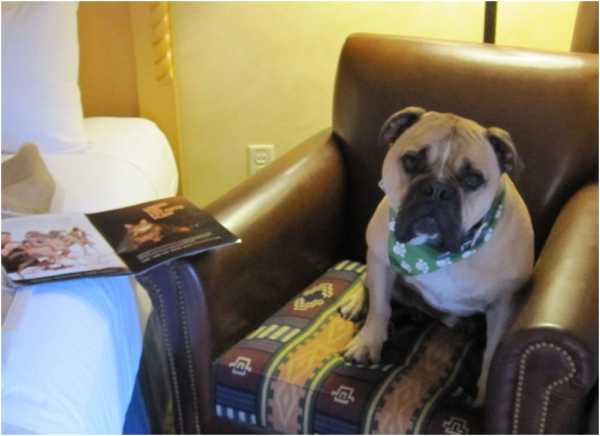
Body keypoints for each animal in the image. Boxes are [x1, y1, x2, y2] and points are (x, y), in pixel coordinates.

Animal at [339, 107, 534, 404]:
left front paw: (484, 395)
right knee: (367, 283)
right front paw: (367, 342)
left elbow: (493, 351)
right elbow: (380, 308)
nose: (437, 190)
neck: (435, 253)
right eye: (411, 161)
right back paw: (355, 302)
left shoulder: (504, 303)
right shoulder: (381, 261)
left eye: (473, 179)